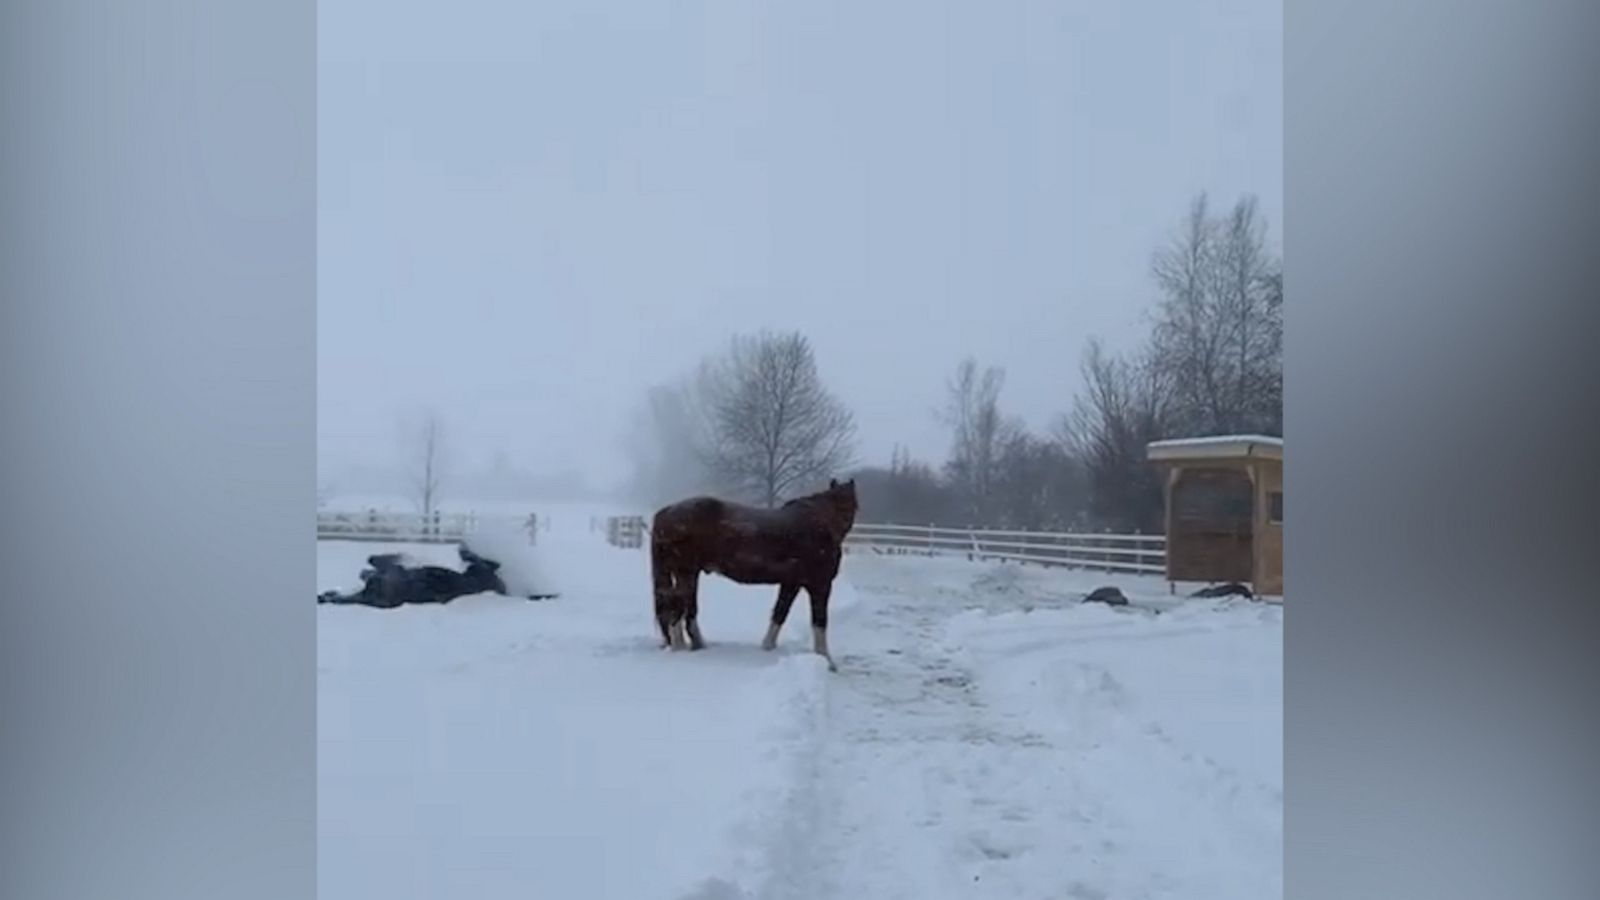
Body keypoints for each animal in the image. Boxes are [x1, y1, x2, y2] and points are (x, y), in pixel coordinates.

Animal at [649, 477, 857, 666]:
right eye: (849, 505)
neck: (822, 523)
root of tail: (667, 512)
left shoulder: (791, 583)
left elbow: (780, 612)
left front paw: (767, 647)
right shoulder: (820, 585)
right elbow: (820, 621)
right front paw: (826, 658)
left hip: (690, 574)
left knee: (688, 609)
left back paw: (698, 645)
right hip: (685, 573)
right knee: (677, 608)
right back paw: (680, 649)